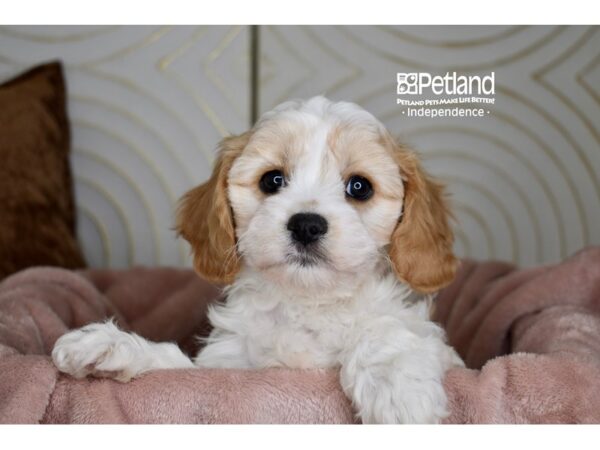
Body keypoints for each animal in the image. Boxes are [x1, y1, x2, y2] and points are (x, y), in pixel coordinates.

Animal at [52, 96, 464, 424]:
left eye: (359, 187)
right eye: (272, 180)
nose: (307, 225)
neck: (306, 305)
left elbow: (386, 332)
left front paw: (399, 394)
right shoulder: (225, 371)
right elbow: (176, 366)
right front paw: (110, 347)